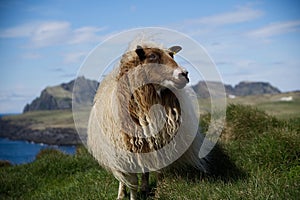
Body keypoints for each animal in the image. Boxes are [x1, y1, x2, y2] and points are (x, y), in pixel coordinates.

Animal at [86, 41, 209, 199]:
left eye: (172, 55)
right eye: (152, 56)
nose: (184, 74)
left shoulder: (160, 145)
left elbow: (157, 172)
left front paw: (158, 191)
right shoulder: (127, 151)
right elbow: (132, 181)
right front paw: (132, 196)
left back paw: (144, 188)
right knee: (123, 177)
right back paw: (121, 194)